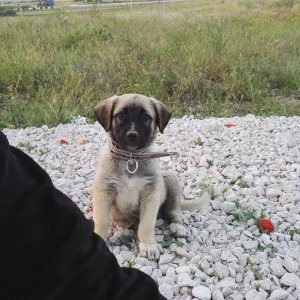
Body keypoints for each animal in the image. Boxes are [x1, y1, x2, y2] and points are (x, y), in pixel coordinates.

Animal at [92, 94, 209, 260]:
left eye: (146, 117)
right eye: (121, 115)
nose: (132, 136)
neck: (131, 158)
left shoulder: (151, 195)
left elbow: (146, 225)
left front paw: (148, 245)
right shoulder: (104, 191)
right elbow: (102, 221)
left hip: (170, 178)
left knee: (173, 212)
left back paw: (177, 226)